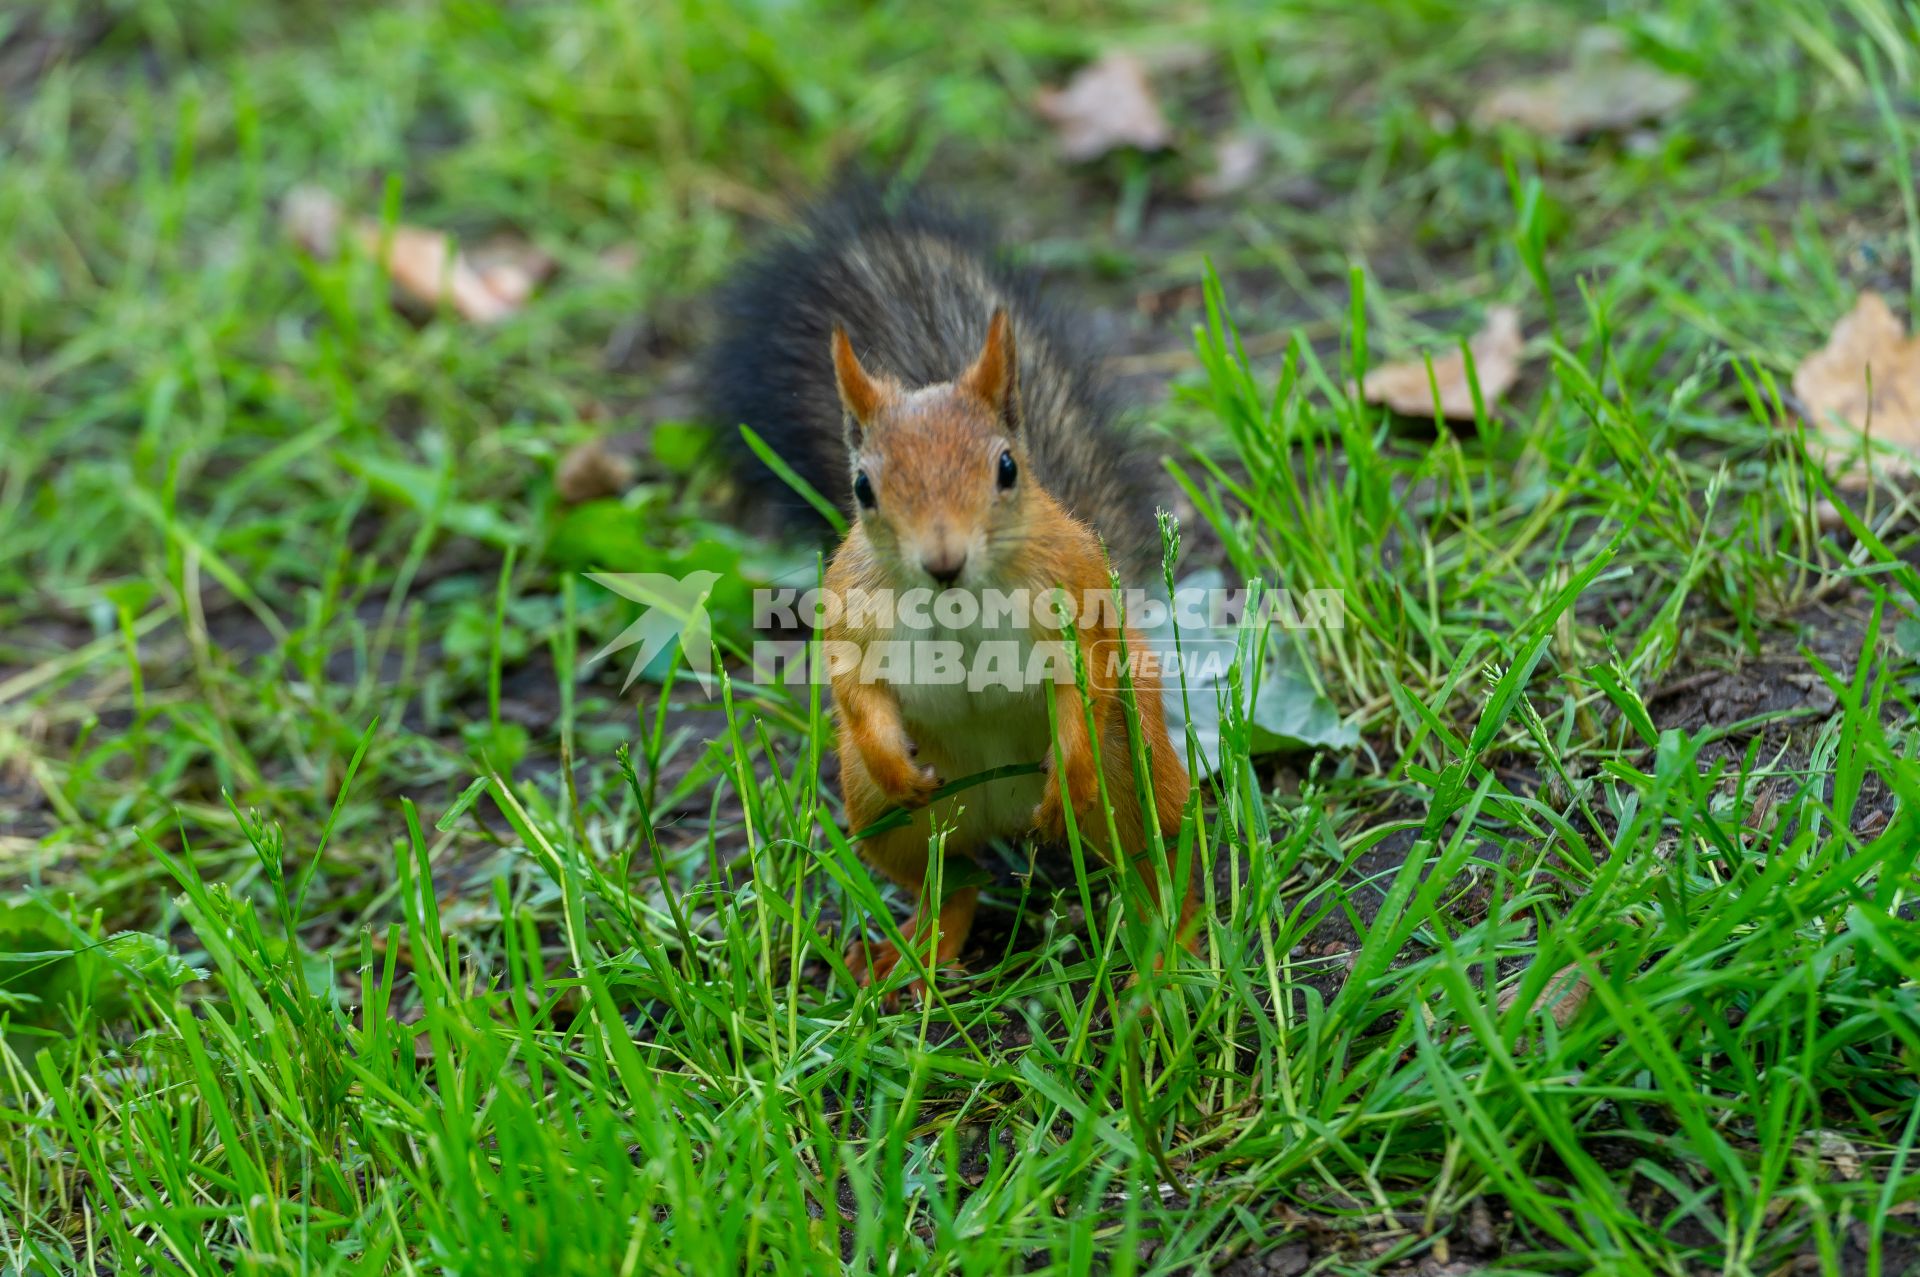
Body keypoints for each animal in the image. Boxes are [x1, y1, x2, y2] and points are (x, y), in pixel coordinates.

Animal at [706, 184, 1198, 990]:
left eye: (1007, 467)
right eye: (863, 487)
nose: (943, 561)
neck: (957, 599)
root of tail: (1003, 818)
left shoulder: (1076, 589)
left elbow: (1085, 676)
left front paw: (1068, 771)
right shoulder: (852, 607)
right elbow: (853, 684)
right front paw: (889, 750)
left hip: (1136, 767)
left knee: (1156, 861)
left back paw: (1170, 949)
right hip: (884, 815)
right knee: (952, 878)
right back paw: (918, 947)